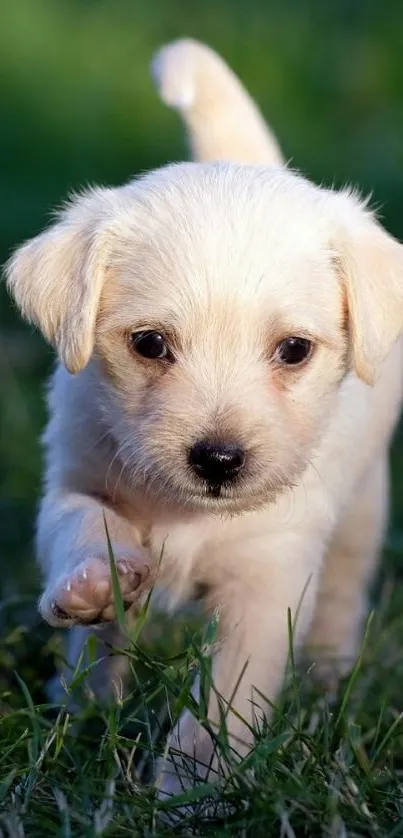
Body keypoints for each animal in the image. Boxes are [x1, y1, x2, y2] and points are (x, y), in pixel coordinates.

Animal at [4, 39, 403, 796]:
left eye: (294, 350)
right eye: (149, 344)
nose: (218, 460)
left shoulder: (268, 582)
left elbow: (224, 700)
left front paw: (191, 791)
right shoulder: (74, 477)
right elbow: (82, 525)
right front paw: (93, 581)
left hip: (363, 509)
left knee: (343, 593)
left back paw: (326, 680)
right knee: (98, 652)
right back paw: (81, 698)